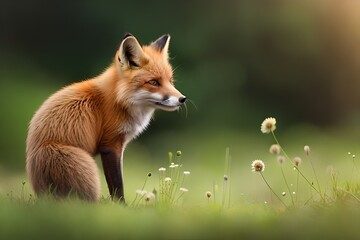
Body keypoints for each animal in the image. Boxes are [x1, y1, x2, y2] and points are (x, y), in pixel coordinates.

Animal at [26, 33, 186, 202]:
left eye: (170, 81)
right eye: (154, 82)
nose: (182, 99)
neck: (118, 99)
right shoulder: (110, 144)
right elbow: (117, 185)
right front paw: (121, 206)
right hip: (87, 166)